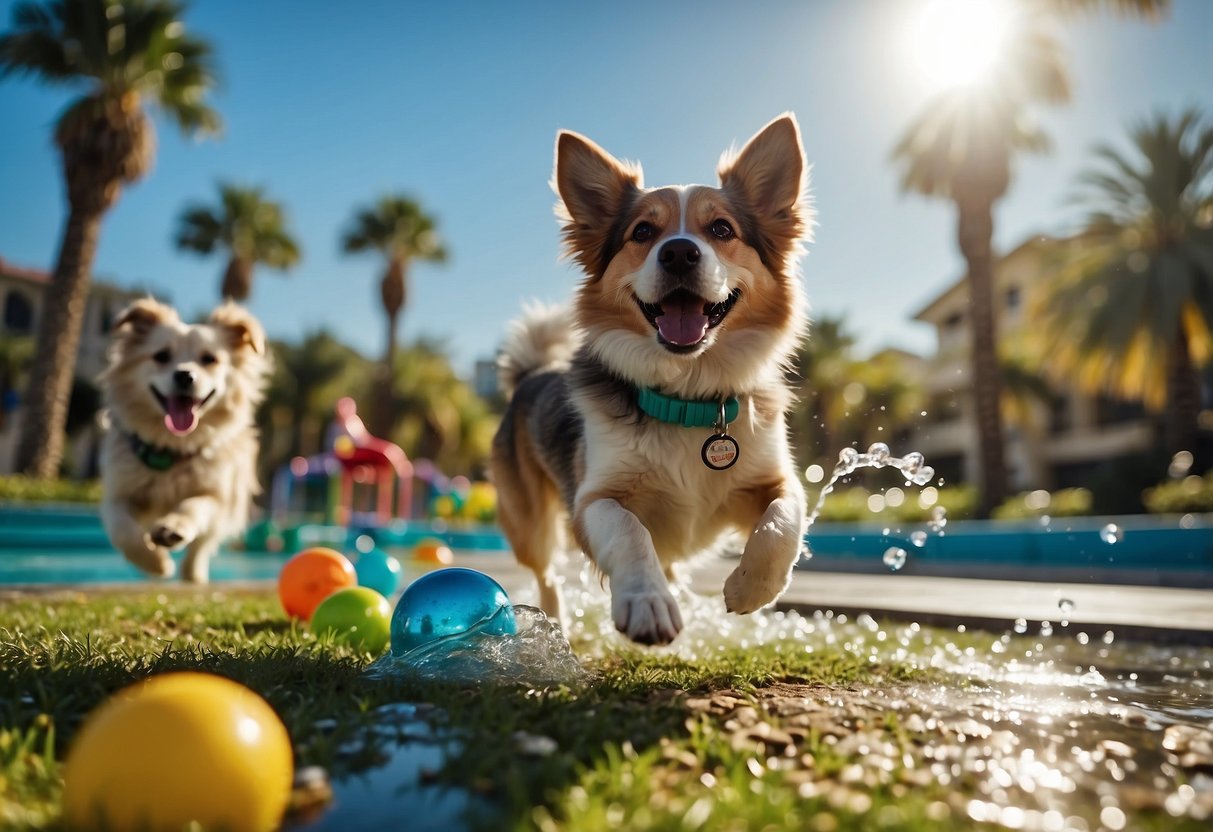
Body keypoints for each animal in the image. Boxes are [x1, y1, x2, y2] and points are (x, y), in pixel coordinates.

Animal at [98, 297, 270, 584]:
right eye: (161, 356)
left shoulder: (217, 496)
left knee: (201, 546)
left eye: (210, 359)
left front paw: (173, 528)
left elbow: (194, 505)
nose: (184, 375)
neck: (172, 445)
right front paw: (156, 563)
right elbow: (122, 530)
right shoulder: (119, 494)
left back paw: (193, 575)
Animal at [492, 112, 815, 645]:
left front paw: (751, 587)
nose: (680, 252)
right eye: (642, 232)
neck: (687, 394)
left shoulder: (774, 479)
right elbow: (630, 531)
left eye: (721, 228)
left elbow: (784, 520)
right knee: (546, 573)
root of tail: (533, 373)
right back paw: (555, 623)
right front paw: (646, 601)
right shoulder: (592, 500)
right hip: (529, 526)